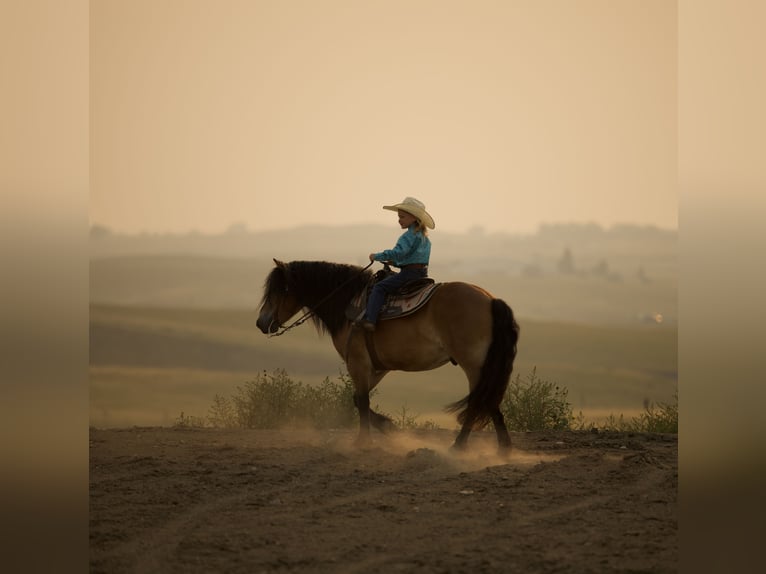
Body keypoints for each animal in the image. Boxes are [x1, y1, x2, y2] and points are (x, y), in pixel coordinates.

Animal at [255, 259, 520, 453]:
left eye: (280, 290)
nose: (261, 323)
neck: (348, 304)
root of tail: (490, 300)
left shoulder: (358, 363)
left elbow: (362, 401)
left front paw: (363, 441)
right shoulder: (378, 367)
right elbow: (357, 399)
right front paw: (389, 427)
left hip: (473, 365)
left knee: (479, 401)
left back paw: (459, 446)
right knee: (489, 401)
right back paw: (503, 448)